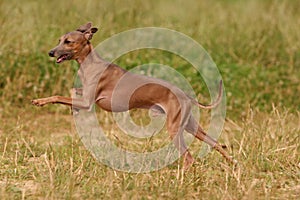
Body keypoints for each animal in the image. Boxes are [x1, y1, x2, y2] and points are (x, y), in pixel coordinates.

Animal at [31, 22, 236, 169]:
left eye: (68, 41)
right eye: (59, 39)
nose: (50, 52)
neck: (90, 63)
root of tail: (185, 95)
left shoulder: (88, 102)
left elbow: (58, 96)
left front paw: (40, 101)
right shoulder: (85, 97)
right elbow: (71, 91)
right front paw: (72, 109)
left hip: (174, 128)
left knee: (189, 157)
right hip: (191, 126)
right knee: (215, 143)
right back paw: (233, 163)